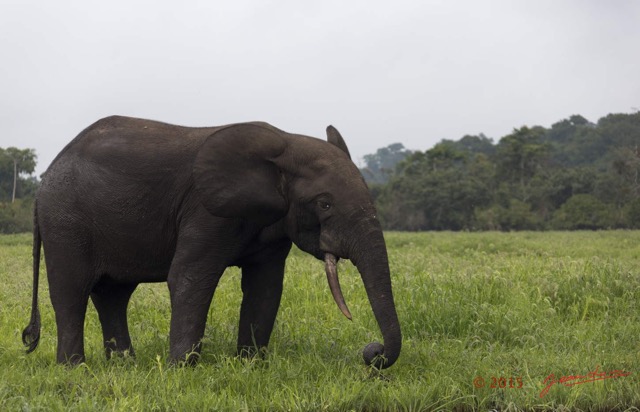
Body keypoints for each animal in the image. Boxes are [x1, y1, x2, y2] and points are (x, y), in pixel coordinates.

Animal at [22, 114, 402, 368]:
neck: (284, 146)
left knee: (113, 294)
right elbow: (190, 278)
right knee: (72, 291)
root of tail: (43, 183)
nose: (372, 352)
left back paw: (123, 366)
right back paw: (75, 369)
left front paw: (251, 366)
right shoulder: (206, 210)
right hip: (65, 221)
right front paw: (181, 371)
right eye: (324, 204)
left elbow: (266, 286)